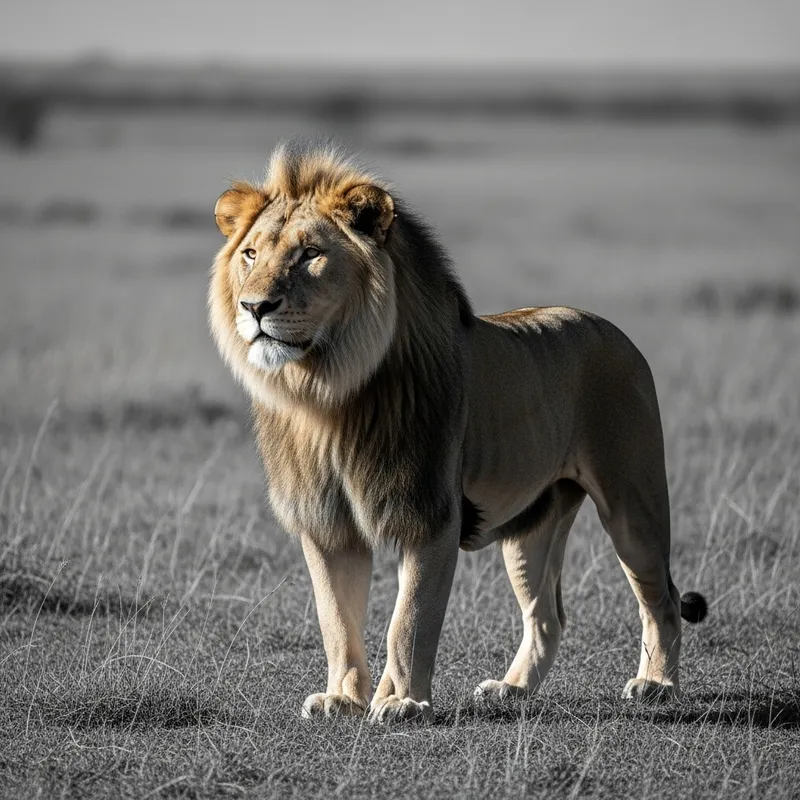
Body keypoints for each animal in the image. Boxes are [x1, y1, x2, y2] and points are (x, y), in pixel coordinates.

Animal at [209, 140, 708, 724]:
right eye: (250, 255)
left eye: (310, 253)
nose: (254, 306)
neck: (327, 394)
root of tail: (612, 329)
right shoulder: (326, 524)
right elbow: (336, 620)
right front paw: (343, 698)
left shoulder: (430, 513)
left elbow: (410, 620)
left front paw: (401, 702)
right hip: (531, 526)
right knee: (547, 616)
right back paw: (511, 689)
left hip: (633, 502)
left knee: (662, 599)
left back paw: (656, 683)